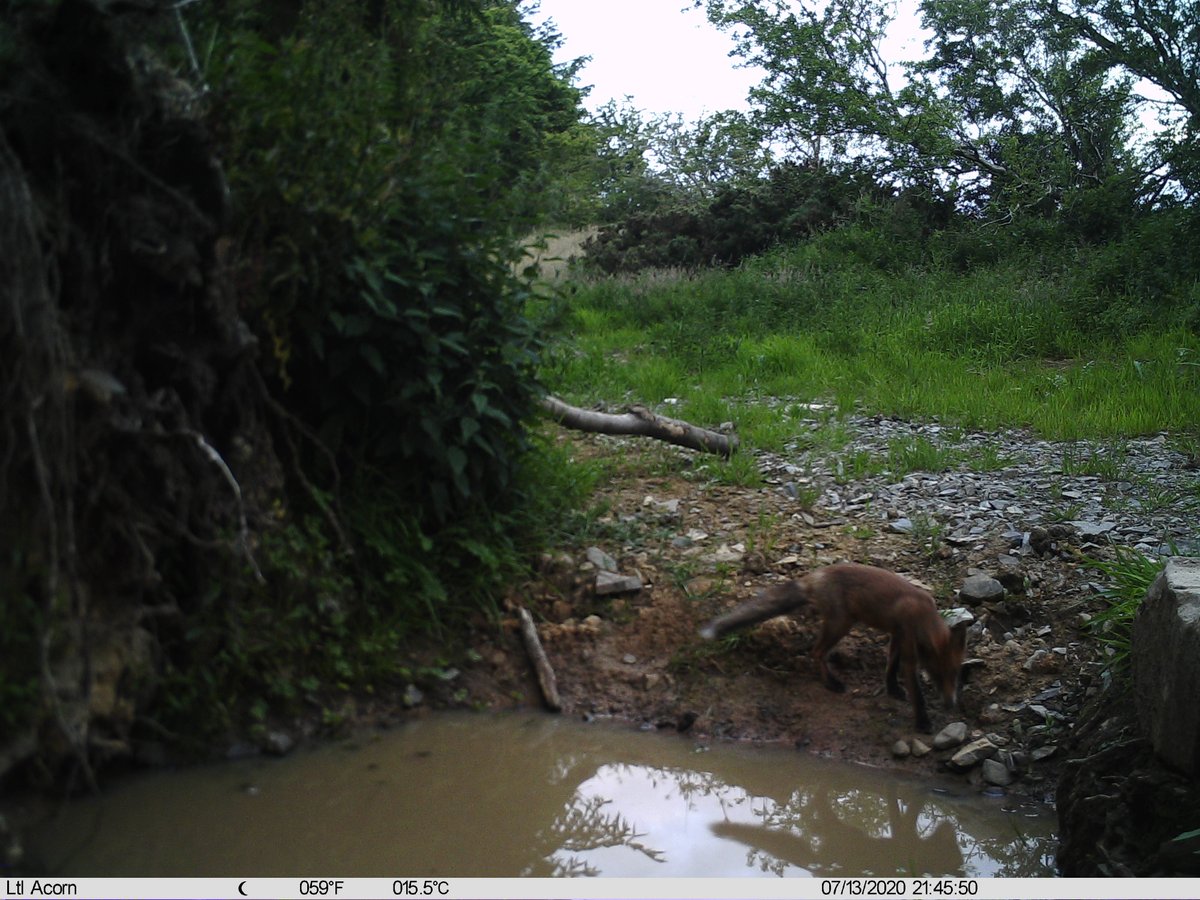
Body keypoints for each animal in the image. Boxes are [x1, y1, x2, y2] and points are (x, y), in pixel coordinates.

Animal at [700, 566, 969, 734]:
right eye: (935, 675)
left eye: (955, 674)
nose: (951, 704)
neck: (924, 615)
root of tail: (815, 576)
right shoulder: (909, 649)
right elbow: (917, 694)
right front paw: (923, 722)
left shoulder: (898, 637)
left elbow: (890, 667)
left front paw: (892, 689)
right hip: (841, 624)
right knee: (816, 652)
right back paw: (831, 683)